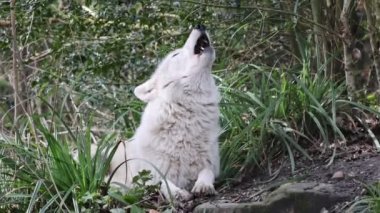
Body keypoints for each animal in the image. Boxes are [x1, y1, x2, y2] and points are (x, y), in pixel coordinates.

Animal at [110, 25, 220, 201]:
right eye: (175, 54)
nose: (200, 25)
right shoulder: (146, 176)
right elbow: (162, 181)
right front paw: (177, 193)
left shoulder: (212, 165)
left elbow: (206, 171)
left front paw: (203, 185)